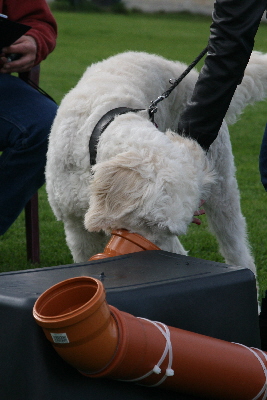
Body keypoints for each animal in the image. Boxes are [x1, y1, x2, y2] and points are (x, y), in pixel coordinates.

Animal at [46, 50, 267, 278]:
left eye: (166, 230)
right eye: (148, 222)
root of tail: (190, 74)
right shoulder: (75, 227)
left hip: (222, 189)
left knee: (236, 246)